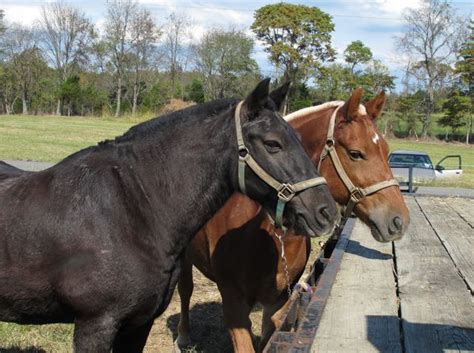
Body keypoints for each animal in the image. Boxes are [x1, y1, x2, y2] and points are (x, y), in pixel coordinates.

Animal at [176, 86, 410, 350]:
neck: (266, 237)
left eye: (387, 150)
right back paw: (183, 335)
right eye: (356, 153)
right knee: (185, 289)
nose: (398, 220)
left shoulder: (277, 302)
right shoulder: (233, 304)